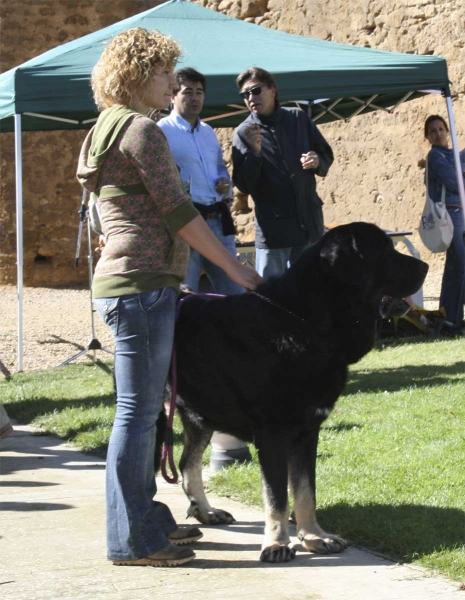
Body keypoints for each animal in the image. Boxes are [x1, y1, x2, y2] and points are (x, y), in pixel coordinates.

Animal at [170, 221, 428, 564]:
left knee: (188, 464)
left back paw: (207, 512)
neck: (305, 322)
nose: (426, 266)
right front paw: (277, 543)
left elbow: (306, 490)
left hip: (199, 416)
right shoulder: (273, 432)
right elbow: (277, 495)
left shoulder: (307, 430)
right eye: (385, 252)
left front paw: (314, 536)